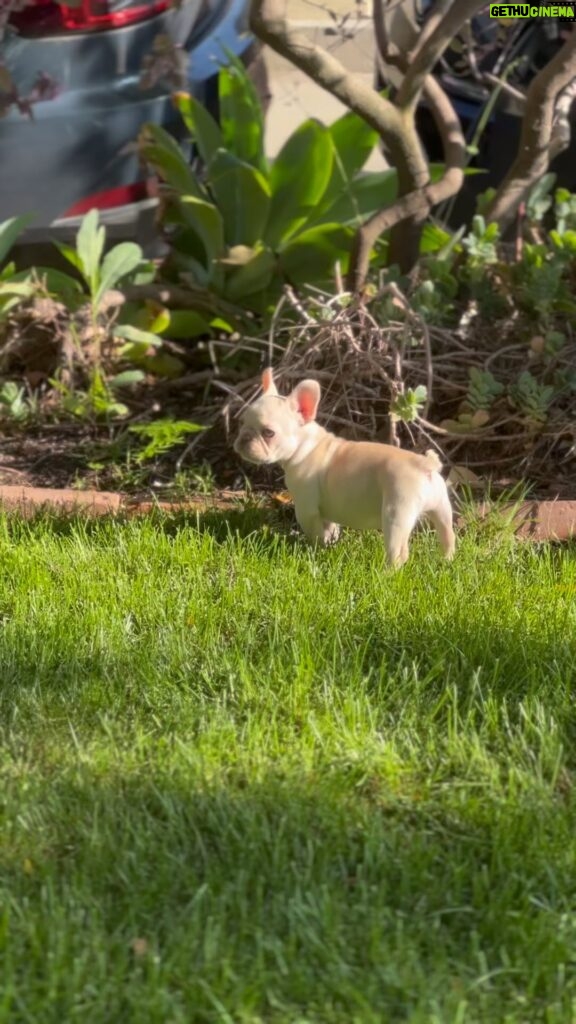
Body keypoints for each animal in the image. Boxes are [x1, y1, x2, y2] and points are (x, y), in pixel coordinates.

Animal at [231, 368, 453, 565]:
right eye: (241, 423)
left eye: (268, 433)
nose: (244, 438)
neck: (305, 445)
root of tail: (424, 464)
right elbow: (330, 527)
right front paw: (331, 544)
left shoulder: (306, 508)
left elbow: (315, 532)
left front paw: (316, 550)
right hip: (442, 508)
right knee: (448, 536)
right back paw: (446, 562)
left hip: (397, 512)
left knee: (398, 553)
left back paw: (387, 575)